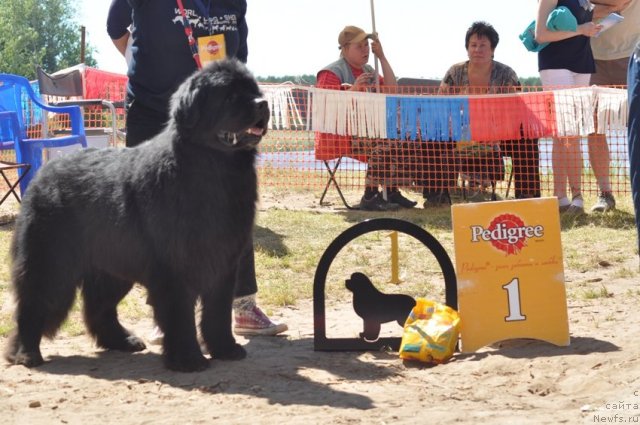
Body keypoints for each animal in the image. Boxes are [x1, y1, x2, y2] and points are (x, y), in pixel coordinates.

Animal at [3, 58, 268, 372]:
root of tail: (43, 172)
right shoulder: (174, 266)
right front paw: (188, 359)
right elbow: (180, 314)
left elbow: (218, 312)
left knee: (98, 307)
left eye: (254, 90)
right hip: (52, 262)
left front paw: (225, 349)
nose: (263, 104)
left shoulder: (224, 262)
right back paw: (25, 353)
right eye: (229, 96)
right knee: (33, 304)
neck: (214, 170)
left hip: (111, 264)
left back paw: (122, 341)